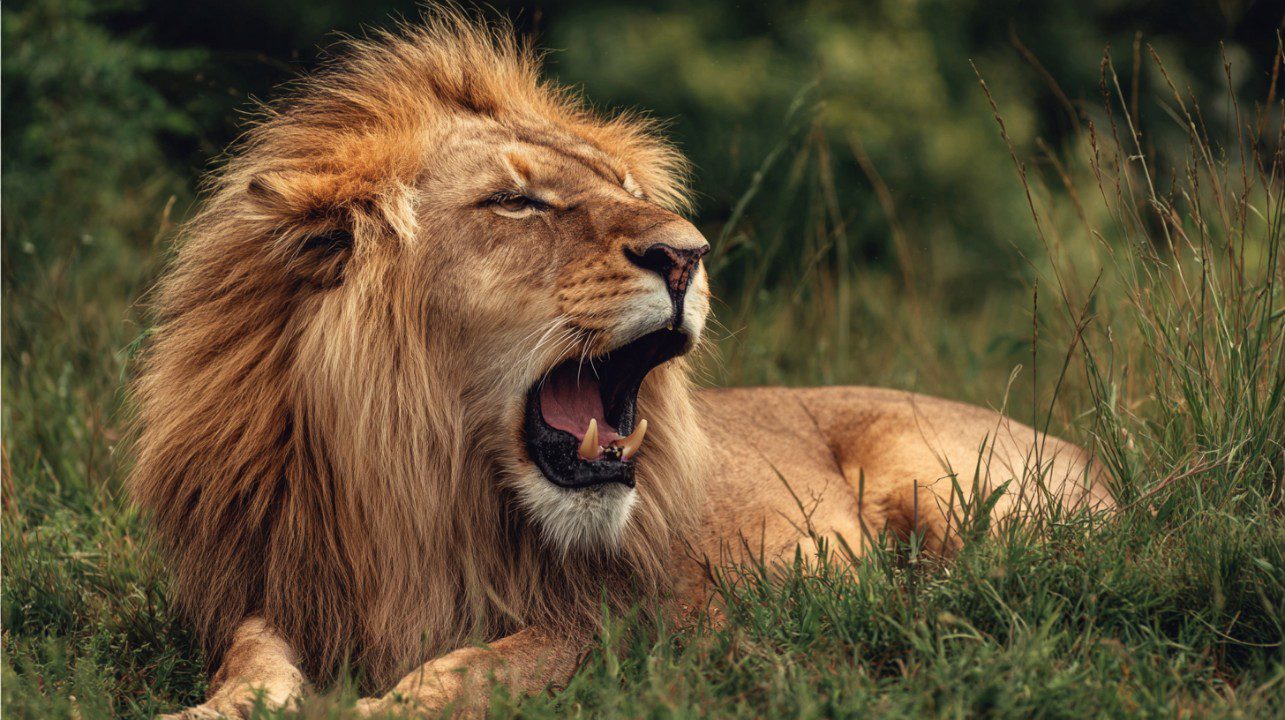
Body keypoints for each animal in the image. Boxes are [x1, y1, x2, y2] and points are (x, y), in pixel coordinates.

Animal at [129, 11, 1111, 718]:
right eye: (517, 203)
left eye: (629, 191)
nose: (688, 254)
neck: (424, 496)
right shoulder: (279, 585)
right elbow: (251, 655)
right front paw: (213, 710)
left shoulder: (635, 620)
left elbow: (498, 665)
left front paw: (380, 707)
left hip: (937, 478)